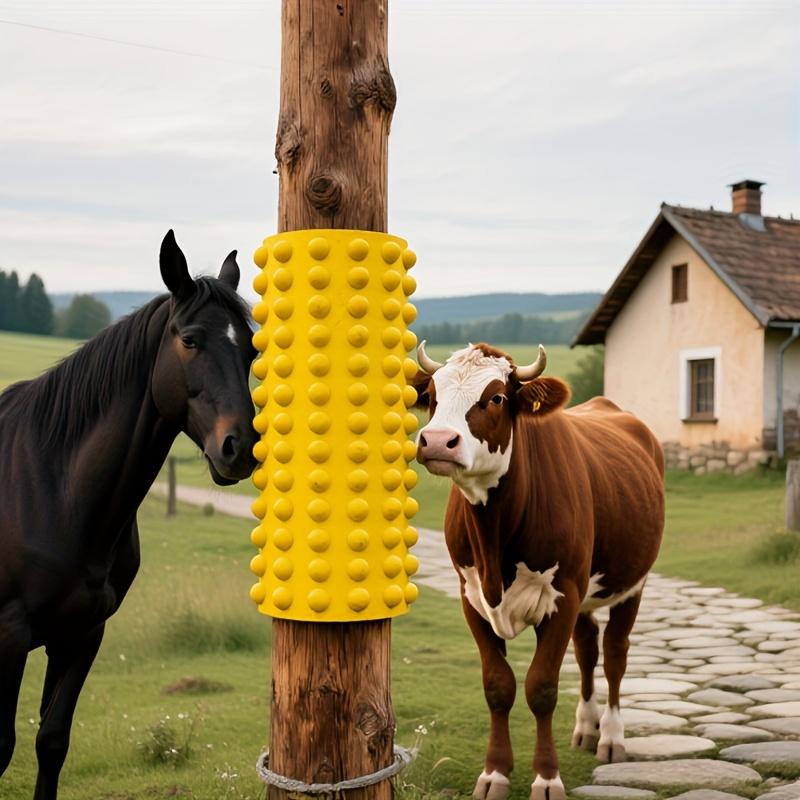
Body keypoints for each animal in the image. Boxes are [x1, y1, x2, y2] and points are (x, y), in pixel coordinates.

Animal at [0, 230, 258, 799]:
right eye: (190, 340)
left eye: (252, 347)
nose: (242, 447)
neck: (53, 489)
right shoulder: (9, 634)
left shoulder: (82, 635)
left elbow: (51, 741)